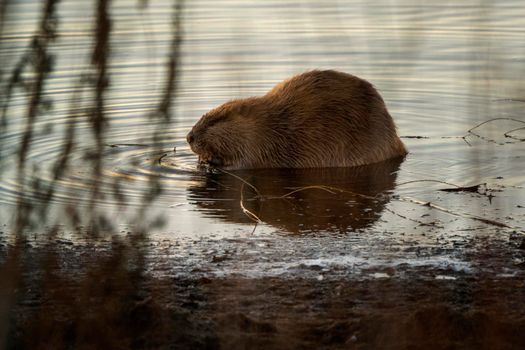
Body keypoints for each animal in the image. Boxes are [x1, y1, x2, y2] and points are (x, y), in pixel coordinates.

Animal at [186, 69, 408, 168]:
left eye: (215, 120)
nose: (189, 137)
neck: (266, 125)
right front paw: (202, 159)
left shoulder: (260, 147)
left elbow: (245, 163)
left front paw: (210, 162)